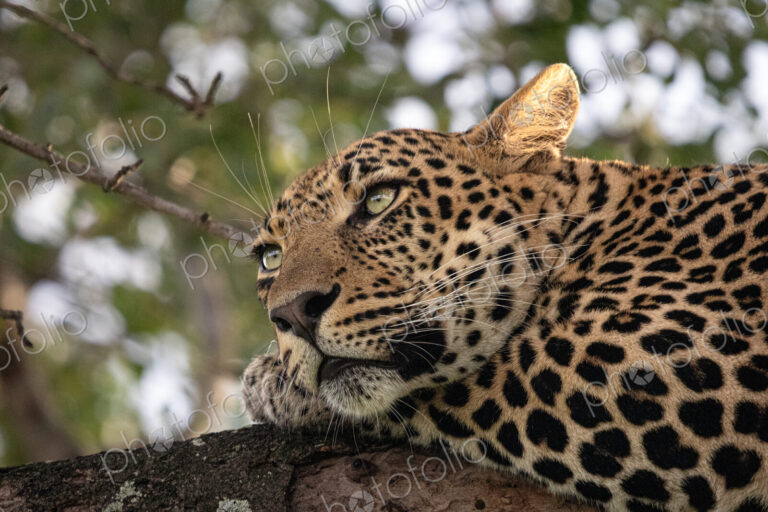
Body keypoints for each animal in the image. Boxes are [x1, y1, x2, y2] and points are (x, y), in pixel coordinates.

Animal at [242, 63, 768, 511]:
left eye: (378, 200)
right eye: (271, 257)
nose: (292, 314)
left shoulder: (699, 354)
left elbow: (471, 377)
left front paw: (270, 382)